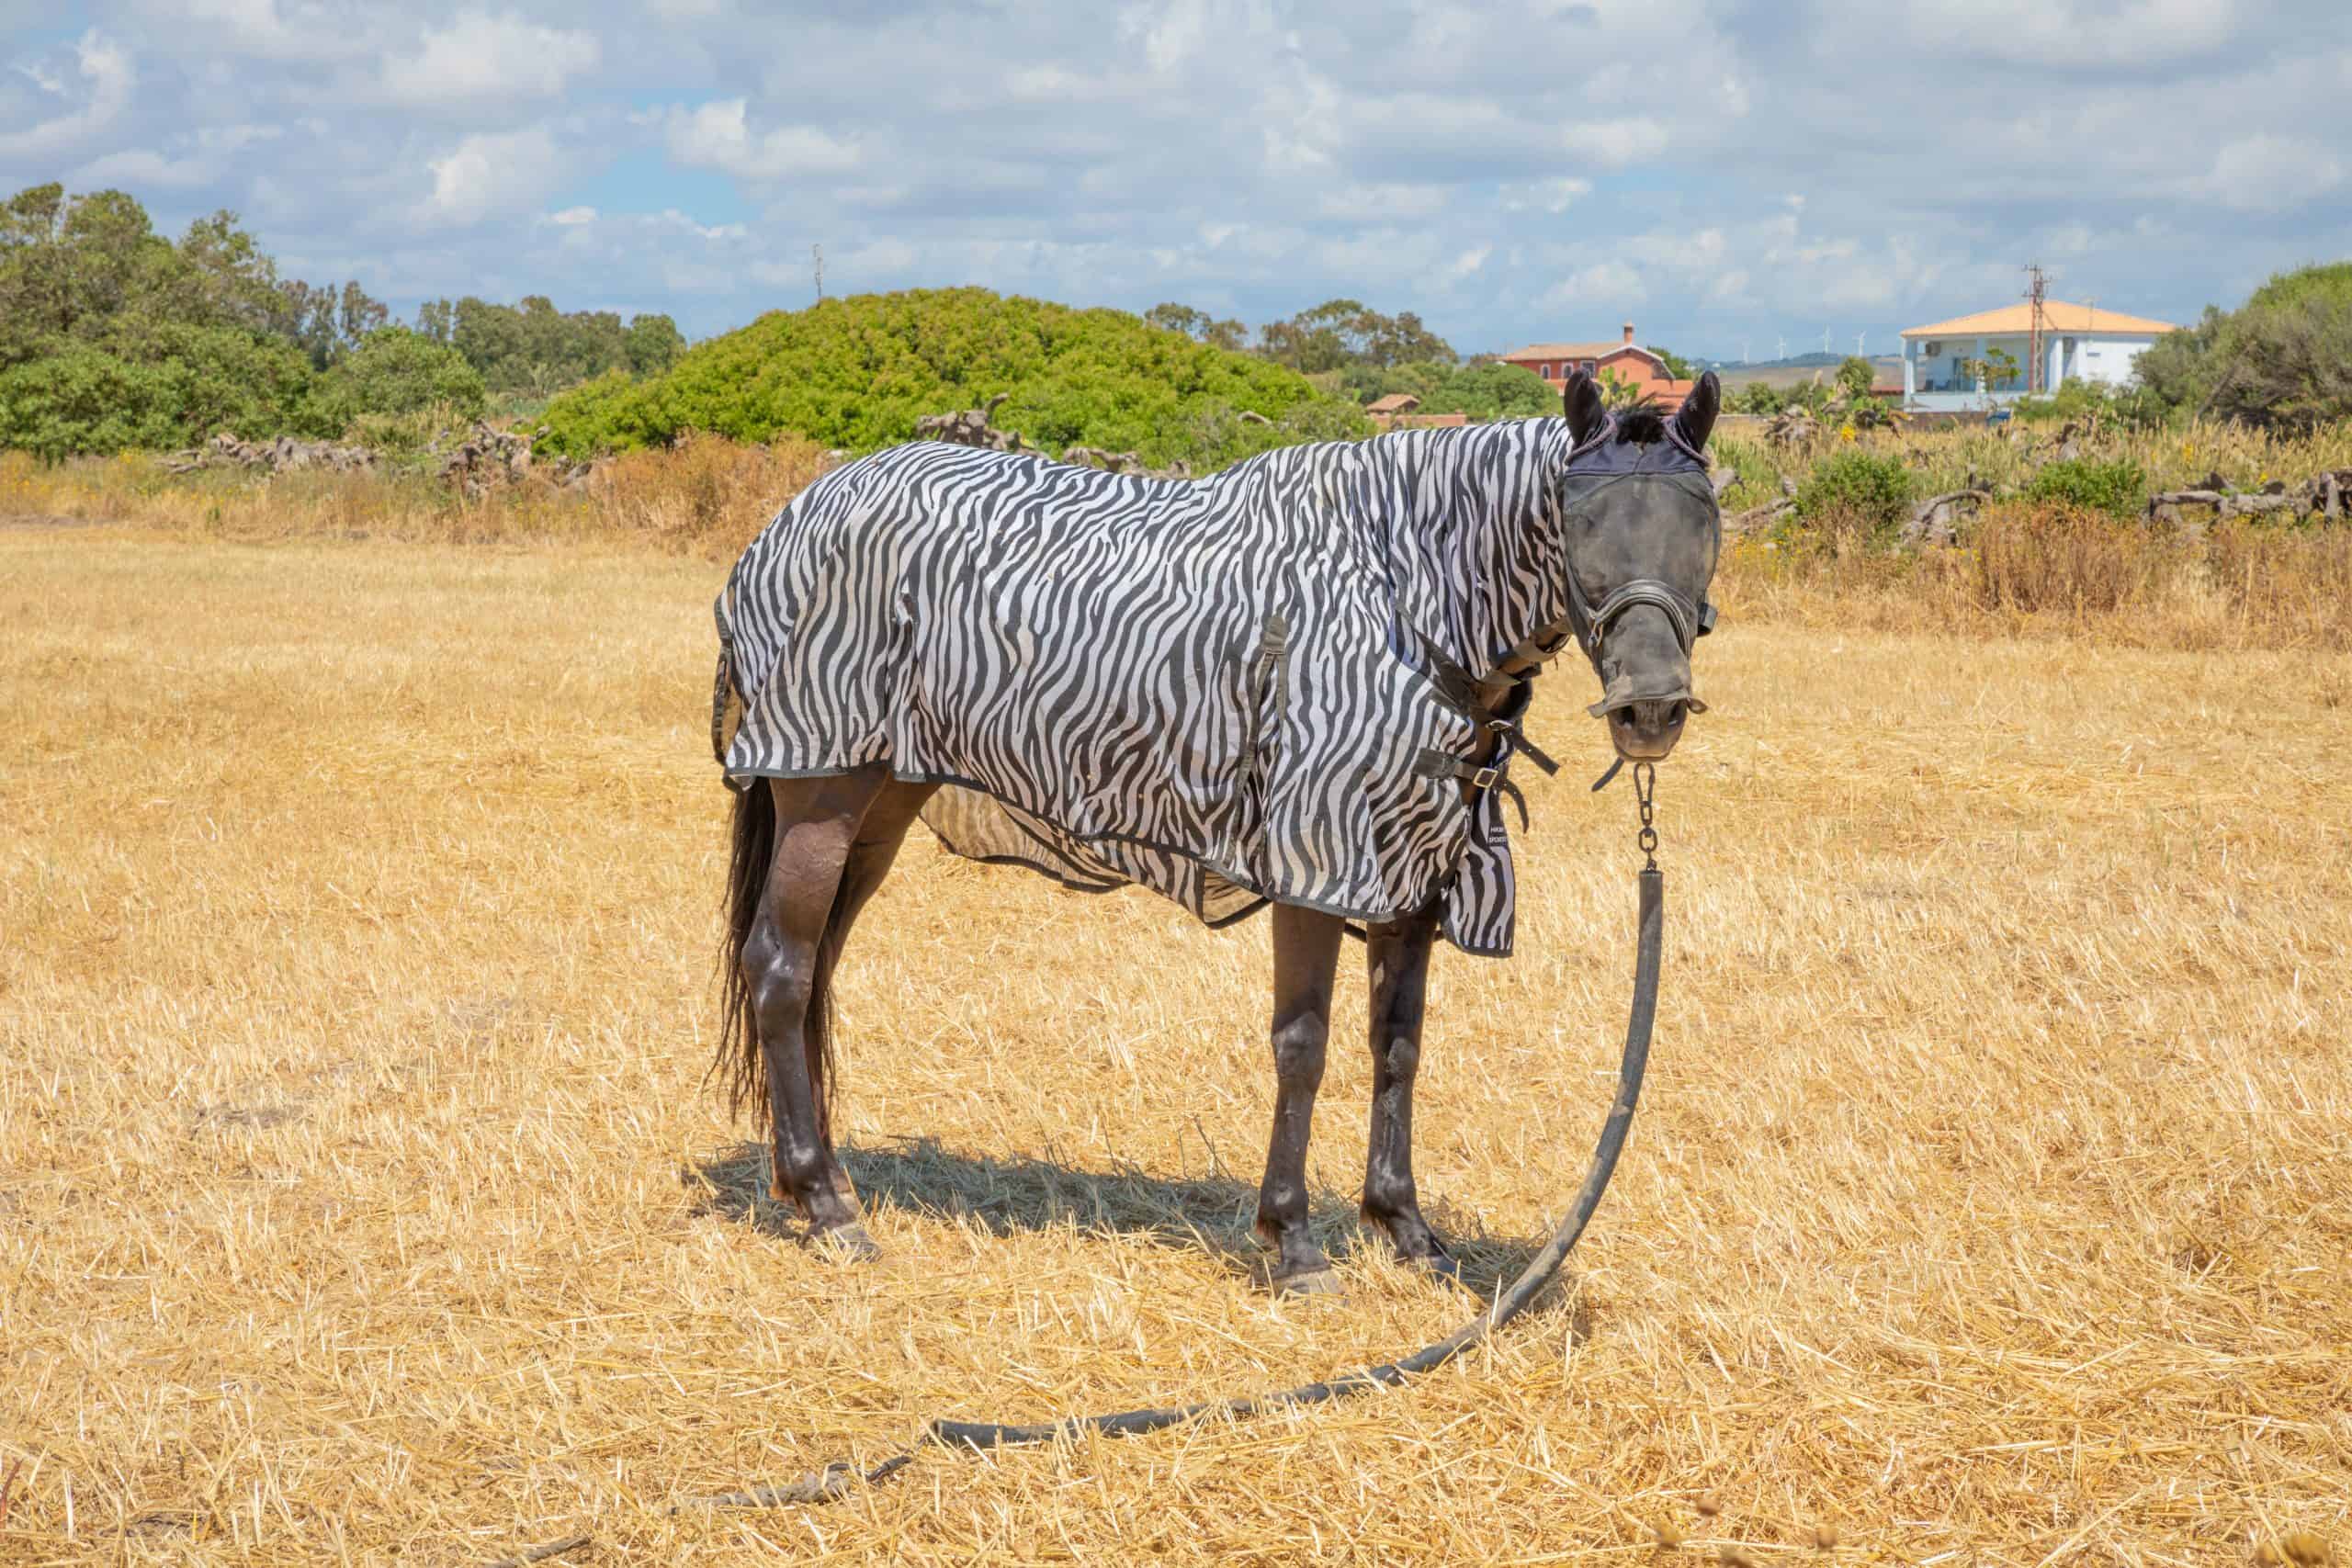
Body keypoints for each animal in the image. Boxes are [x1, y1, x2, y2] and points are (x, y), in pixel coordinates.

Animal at [706, 368, 1721, 1288]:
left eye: (1703, 526)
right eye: (1579, 527)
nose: (1650, 710)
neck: (1396, 595)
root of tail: (789, 522)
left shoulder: (1415, 872)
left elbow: (1396, 1044)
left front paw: (1405, 1229)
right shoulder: (1317, 860)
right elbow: (1302, 1045)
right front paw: (1294, 1242)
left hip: (882, 802)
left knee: (817, 970)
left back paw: (823, 1184)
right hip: (823, 793)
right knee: (782, 969)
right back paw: (827, 1207)